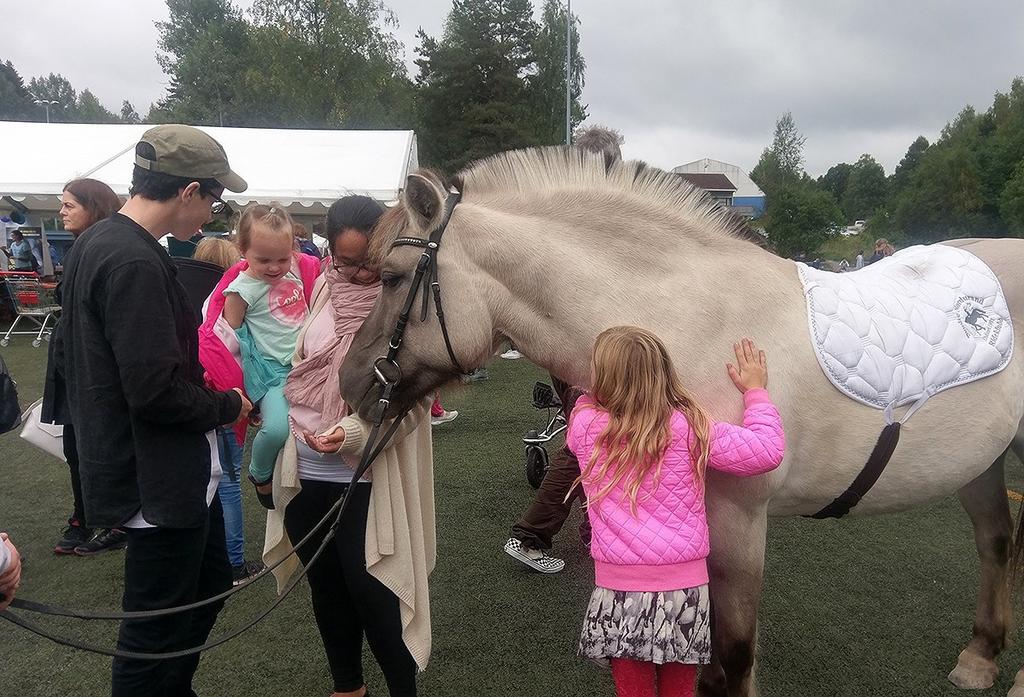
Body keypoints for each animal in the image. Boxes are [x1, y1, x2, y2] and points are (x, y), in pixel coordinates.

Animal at [339, 148, 1024, 695]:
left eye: (394, 279)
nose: (349, 385)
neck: (689, 327)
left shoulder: (738, 522)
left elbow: (734, 659)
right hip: (983, 462)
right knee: (997, 541)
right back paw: (980, 657)